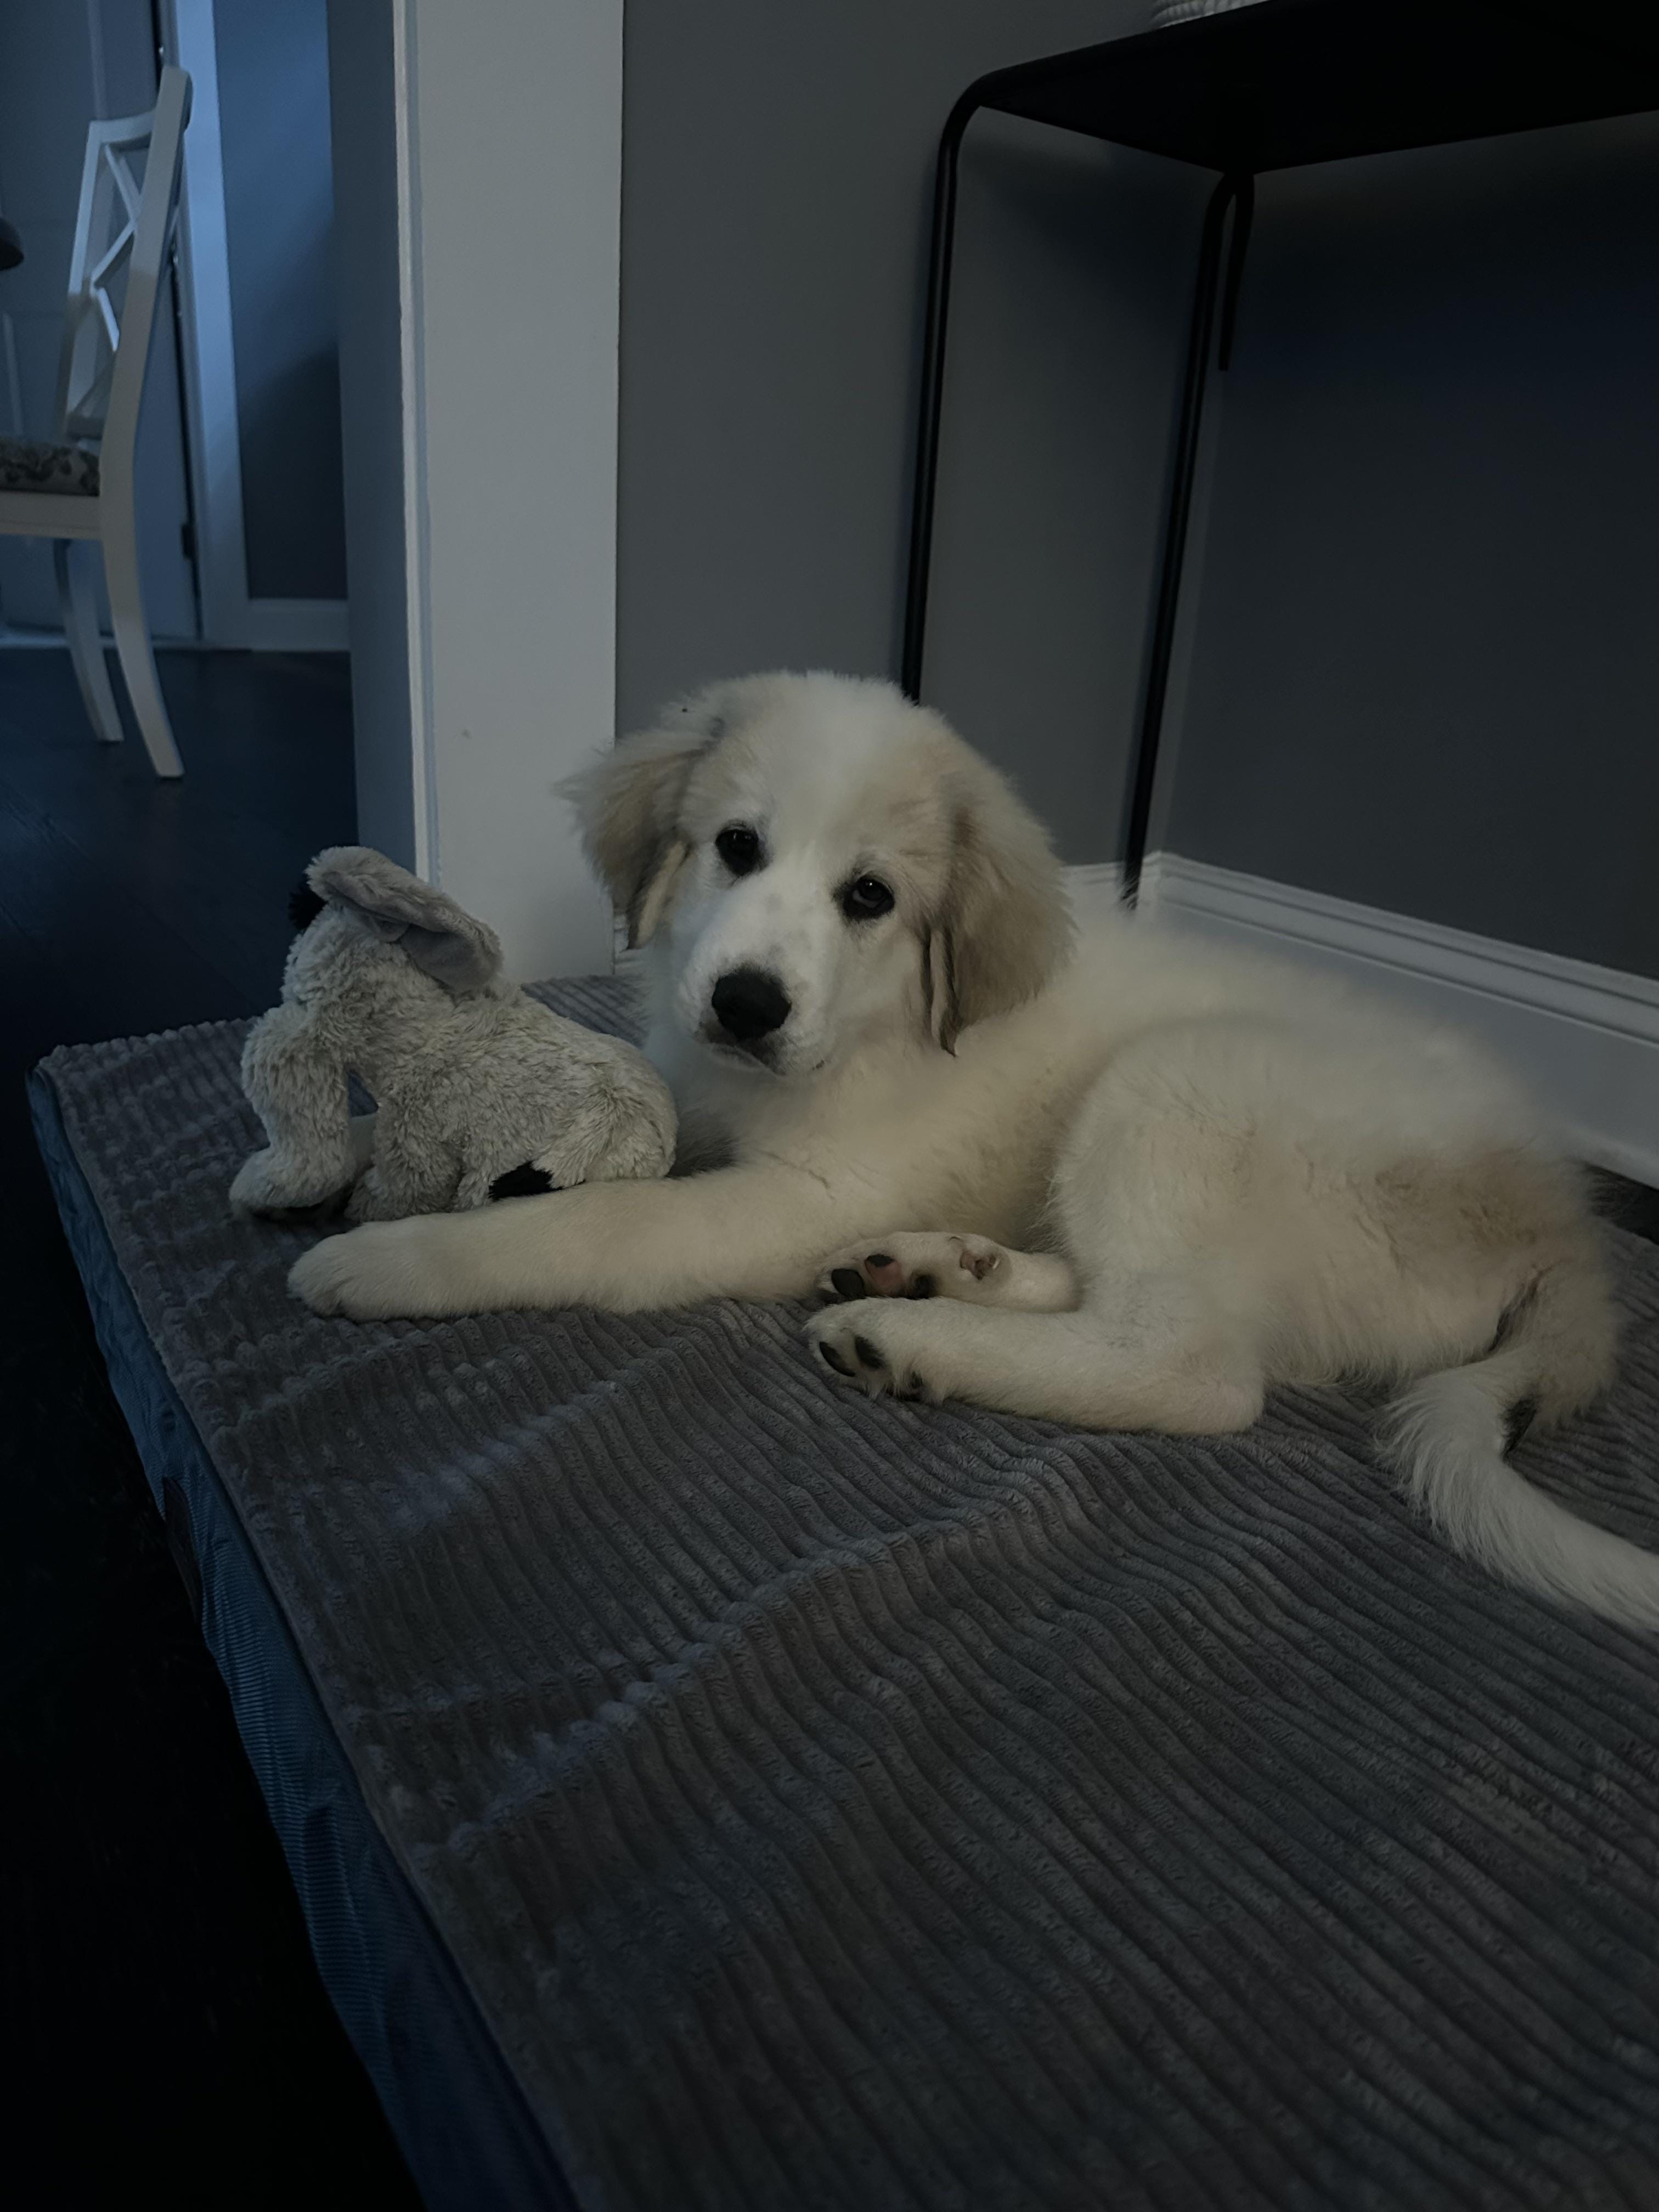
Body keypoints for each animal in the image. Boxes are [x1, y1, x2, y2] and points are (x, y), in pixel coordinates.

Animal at [291, 671, 1659, 1629]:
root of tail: (1566, 1227)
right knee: (1118, 1299)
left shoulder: (798, 1193)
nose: (745, 1005)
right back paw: (936, 1270)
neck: (873, 1027)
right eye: (735, 846)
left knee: (1195, 1366)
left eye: (871, 899)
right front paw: (324, 1147)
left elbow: (593, 1220)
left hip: (1182, 1086)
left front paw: (397, 1256)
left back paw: (914, 1336)